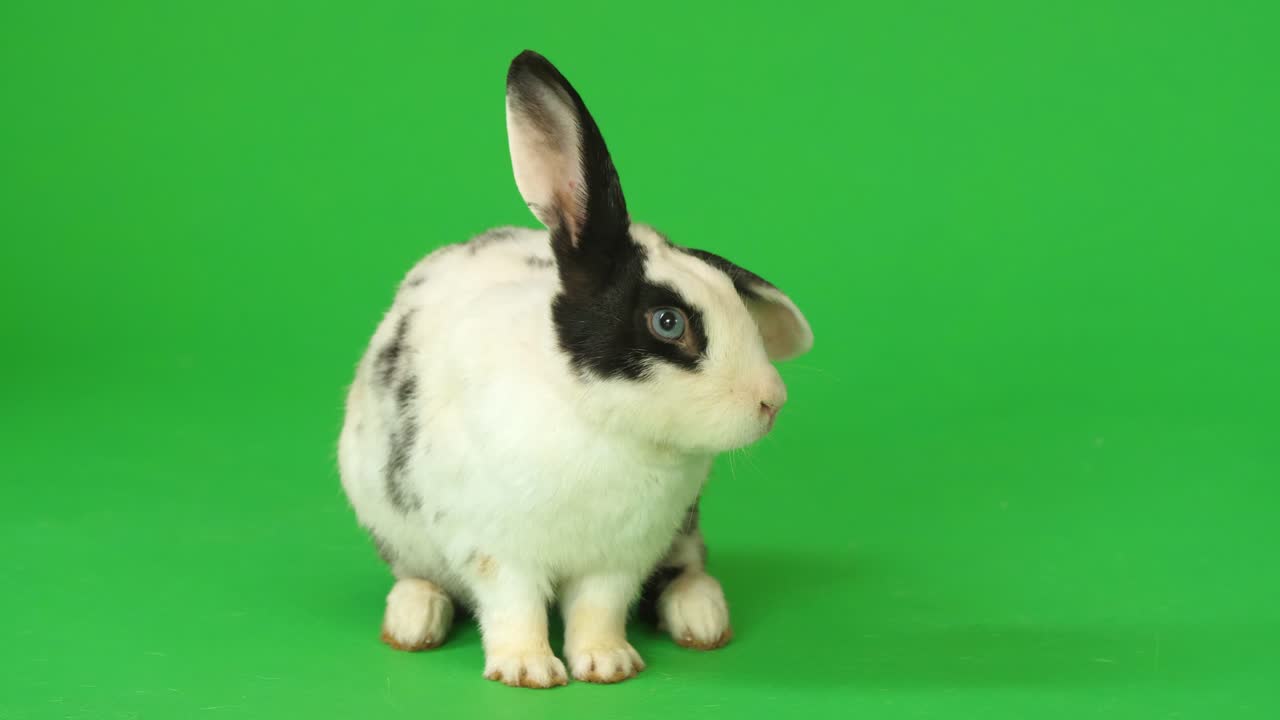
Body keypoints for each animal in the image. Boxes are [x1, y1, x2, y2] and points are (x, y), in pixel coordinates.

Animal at [337, 50, 813, 688]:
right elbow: (514, 608)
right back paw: (415, 619)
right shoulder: (497, 551)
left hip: (683, 530)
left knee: (686, 568)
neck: (597, 420)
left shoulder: (618, 559)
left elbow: (598, 609)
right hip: (394, 528)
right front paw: (528, 670)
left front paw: (607, 664)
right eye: (668, 322)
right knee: (418, 574)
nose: (771, 401)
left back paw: (703, 618)